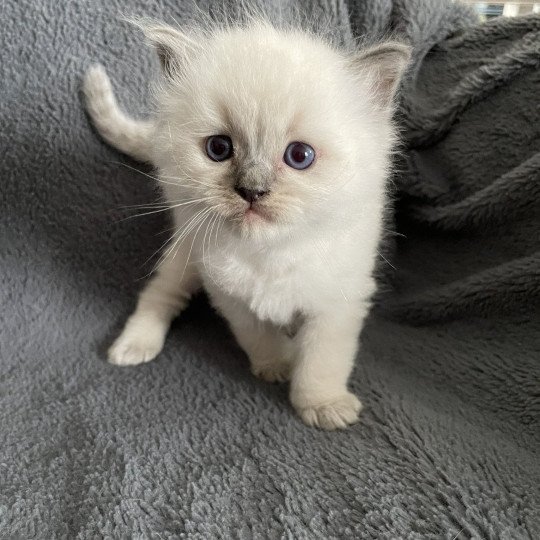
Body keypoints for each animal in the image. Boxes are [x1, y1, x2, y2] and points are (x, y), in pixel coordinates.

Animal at [83, 17, 410, 430]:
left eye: (300, 156)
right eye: (219, 149)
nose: (251, 191)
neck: (270, 252)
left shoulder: (338, 301)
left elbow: (322, 359)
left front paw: (323, 406)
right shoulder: (230, 295)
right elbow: (259, 336)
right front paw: (277, 366)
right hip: (185, 256)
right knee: (159, 294)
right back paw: (133, 347)